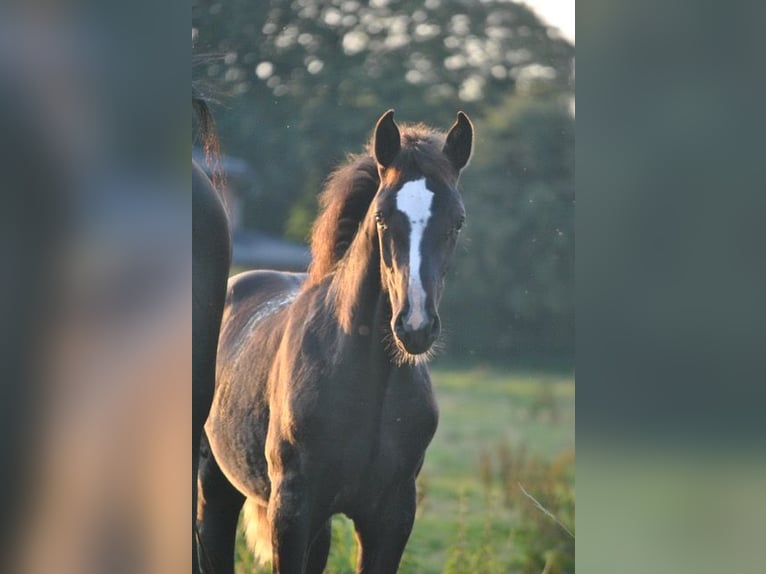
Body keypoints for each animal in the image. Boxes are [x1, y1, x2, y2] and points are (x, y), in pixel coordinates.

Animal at [198, 110, 474, 572]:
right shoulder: (292, 511)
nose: (415, 325)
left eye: (457, 220)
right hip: (214, 489)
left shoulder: (392, 516)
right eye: (381, 217)